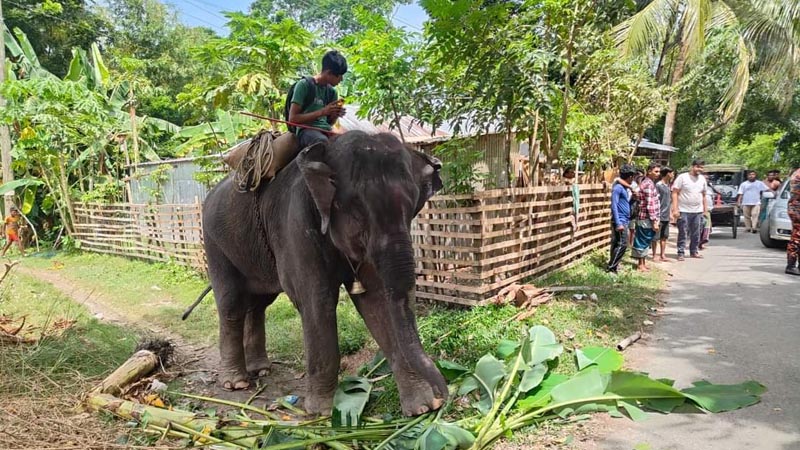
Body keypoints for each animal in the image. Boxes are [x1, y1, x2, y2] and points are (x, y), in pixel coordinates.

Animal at [202, 132, 450, 416]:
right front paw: (322, 412)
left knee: (259, 303)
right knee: (231, 304)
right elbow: (316, 302)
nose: (444, 396)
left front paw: (422, 408)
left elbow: (377, 301)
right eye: (357, 209)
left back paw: (260, 370)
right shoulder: (296, 224)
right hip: (215, 243)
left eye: (412, 209)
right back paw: (236, 383)